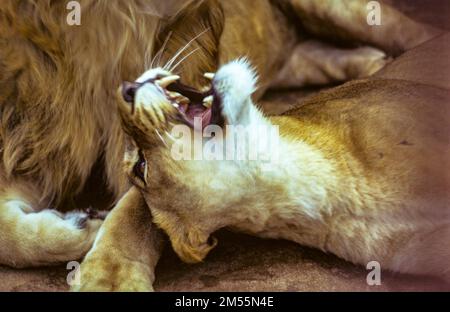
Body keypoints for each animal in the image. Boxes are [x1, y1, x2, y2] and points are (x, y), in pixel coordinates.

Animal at [0, 0, 442, 290]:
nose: (124, 88)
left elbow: (132, 211)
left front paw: (109, 272)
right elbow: (11, 238)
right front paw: (81, 228)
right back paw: (370, 61)